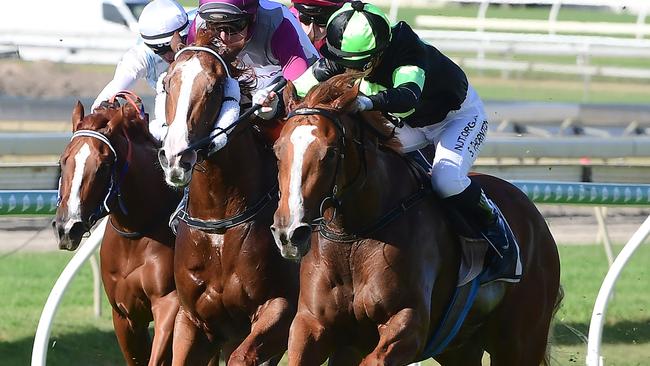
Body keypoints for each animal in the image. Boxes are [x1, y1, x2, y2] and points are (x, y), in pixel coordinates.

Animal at [51, 95, 180, 366]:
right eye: (63, 160)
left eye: (103, 165)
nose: (67, 228)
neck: (136, 235)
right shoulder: (124, 315)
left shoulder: (169, 304)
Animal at [157, 30, 298, 364]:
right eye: (167, 82)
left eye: (214, 87)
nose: (176, 157)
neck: (218, 219)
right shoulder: (193, 321)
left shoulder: (281, 308)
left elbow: (242, 356)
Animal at [270, 75, 560, 366]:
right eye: (277, 150)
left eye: (330, 153)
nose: (289, 233)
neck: (353, 237)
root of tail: (533, 214)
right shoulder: (312, 325)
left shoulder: (408, 325)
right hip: (459, 348)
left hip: (520, 343)